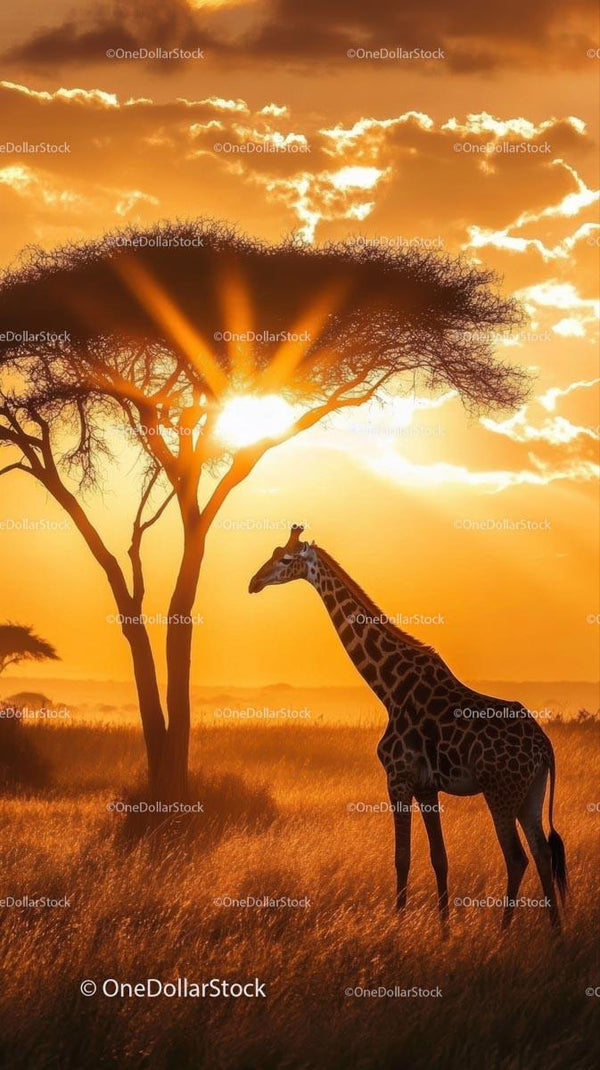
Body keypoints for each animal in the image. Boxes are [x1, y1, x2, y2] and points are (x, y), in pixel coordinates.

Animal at [249, 525, 568, 930]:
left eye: (286, 559)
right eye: (274, 552)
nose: (254, 582)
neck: (389, 686)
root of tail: (544, 747)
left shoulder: (397, 778)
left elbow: (402, 857)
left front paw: (398, 926)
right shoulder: (426, 786)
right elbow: (439, 857)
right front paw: (443, 929)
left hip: (500, 791)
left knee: (517, 857)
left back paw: (504, 930)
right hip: (531, 793)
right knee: (542, 853)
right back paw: (554, 931)